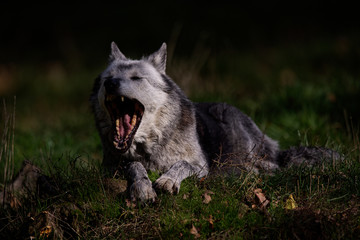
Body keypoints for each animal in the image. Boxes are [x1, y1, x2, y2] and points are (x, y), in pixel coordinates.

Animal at [90, 42, 340, 202]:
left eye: (136, 78)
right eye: (107, 79)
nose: (110, 84)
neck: (150, 147)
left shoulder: (201, 165)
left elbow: (182, 165)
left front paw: (168, 180)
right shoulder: (111, 167)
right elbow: (133, 166)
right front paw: (142, 188)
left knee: (272, 167)